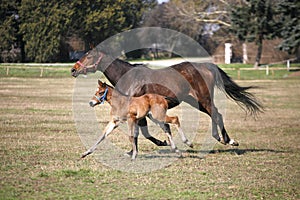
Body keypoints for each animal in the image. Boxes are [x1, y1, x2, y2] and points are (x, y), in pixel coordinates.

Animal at [71, 49, 262, 148]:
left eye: (88, 56)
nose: (73, 69)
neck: (129, 77)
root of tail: (206, 66)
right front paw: (166, 142)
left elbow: (145, 132)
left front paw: (163, 143)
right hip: (197, 102)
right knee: (216, 114)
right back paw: (220, 138)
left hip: (204, 99)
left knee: (216, 114)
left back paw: (229, 140)